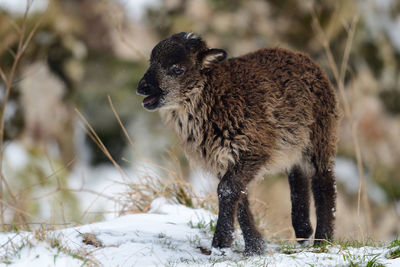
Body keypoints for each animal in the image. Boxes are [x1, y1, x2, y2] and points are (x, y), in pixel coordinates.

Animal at [136, 32, 340, 256]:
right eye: (151, 62)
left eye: (177, 69)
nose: (142, 87)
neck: (215, 98)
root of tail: (303, 57)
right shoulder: (222, 158)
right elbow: (239, 196)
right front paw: (255, 247)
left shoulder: (255, 148)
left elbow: (227, 189)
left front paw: (221, 244)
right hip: (294, 142)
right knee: (297, 176)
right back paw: (303, 231)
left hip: (320, 133)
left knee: (324, 180)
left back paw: (323, 240)